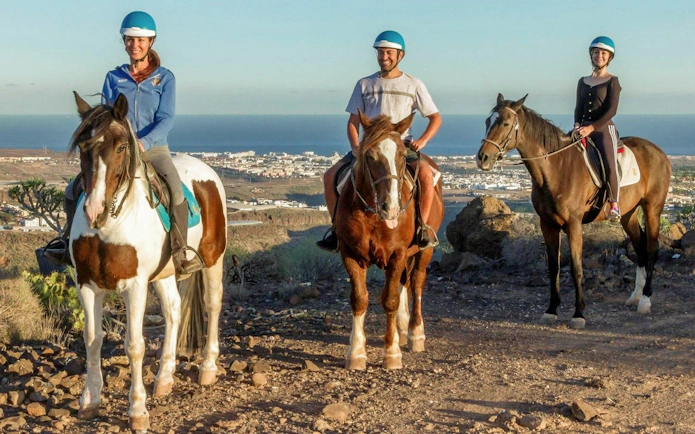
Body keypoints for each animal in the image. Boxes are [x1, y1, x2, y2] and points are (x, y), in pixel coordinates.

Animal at [68, 92, 227, 431]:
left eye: (121, 147)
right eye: (84, 147)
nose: (94, 210)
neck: (110, 225)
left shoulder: (135, 285)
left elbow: (134, 345)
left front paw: (138, 411)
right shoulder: (87, 284)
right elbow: (92, 339)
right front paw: (90, 401)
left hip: (213, 259)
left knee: (213, 304)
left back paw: (208, 368)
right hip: (165, 273)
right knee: (174, 311)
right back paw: (165, 379)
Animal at [336, 110, 444, 370]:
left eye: (402, 156)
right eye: (369, 155)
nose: (391, 207)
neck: (373, 213)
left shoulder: (397, 253)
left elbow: (391, 300)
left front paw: (391, 353)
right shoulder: (351, 253)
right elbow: (359, 299)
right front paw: (356, 353)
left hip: (423, 251)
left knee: (416, 282)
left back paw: (415, 333)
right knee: (404, 282)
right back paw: (402, 329)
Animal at [477, 94, 671, 329]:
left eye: (505, 123)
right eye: (487, 121)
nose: (482, 158)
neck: (556, 168)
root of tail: (657, 151)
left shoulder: (574, 224)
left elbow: (577, 269)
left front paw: (579, 314)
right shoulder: (548, 224)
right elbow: (554, 267)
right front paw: (551, 310)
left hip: (652, 209)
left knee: (651, 248)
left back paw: (645, 300)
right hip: (628, 214)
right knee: (640, 246)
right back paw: (635, 296)